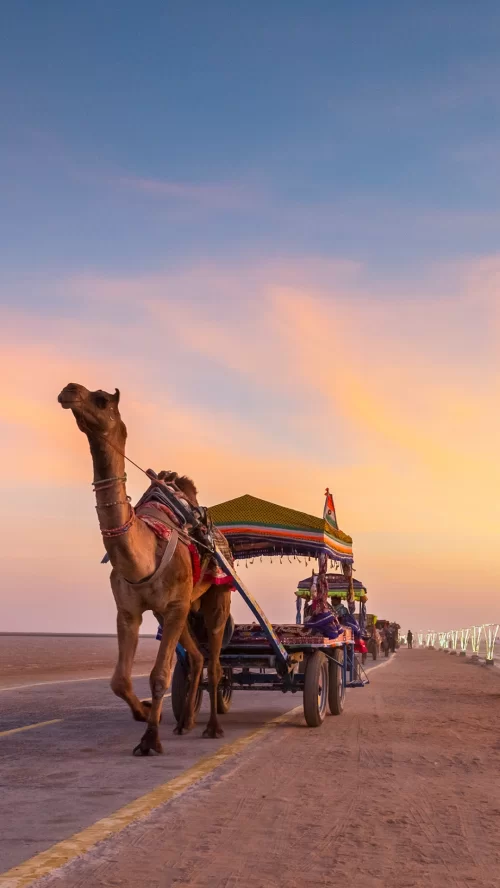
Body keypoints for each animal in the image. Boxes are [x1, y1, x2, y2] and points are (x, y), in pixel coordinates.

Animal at [58, 382, 231, 755]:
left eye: (101, 400)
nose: (69, 390)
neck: (144, 555)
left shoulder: (175, 604)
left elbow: (159, 675)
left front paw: (150, 739)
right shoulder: (130, 610)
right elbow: (119, 680)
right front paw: (146, 713)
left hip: (217, 596)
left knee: (214, 661)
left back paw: (212, 727)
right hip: (177, 610)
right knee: (196, 657)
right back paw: (185, 722)